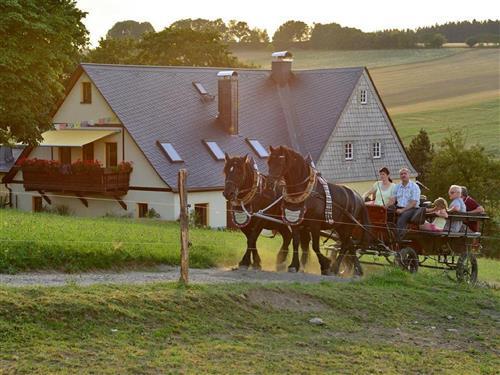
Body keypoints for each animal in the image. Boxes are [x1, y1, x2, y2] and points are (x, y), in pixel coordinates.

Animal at [268, 146, 370, 276]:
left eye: (280, 162)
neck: (304, 191)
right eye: (269, 161)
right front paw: (293, 266)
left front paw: (325, 265)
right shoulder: (295, 222)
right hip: (340, 227)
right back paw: (357, 270)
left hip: (347, 226)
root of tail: (358, 197)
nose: (270, 182)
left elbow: (315, 246)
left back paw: (335, 268)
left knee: (345, 244)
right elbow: (295, 243)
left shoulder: (314, 224)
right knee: (350, 244)